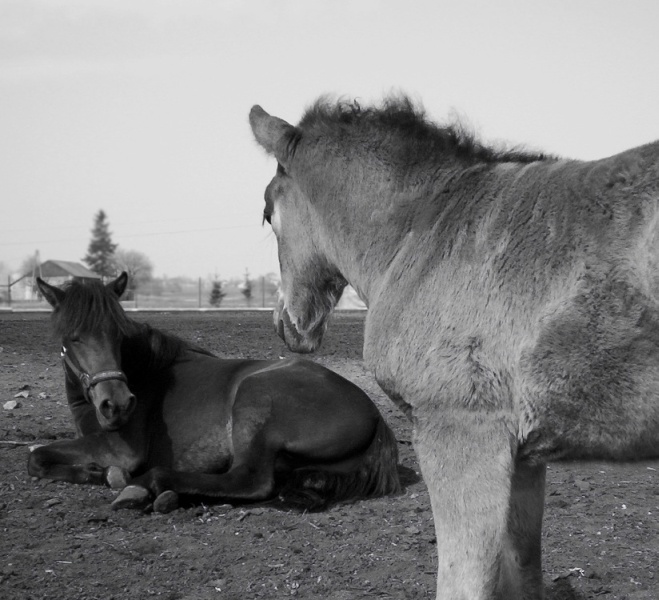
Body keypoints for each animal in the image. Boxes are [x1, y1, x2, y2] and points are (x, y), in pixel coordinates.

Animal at [28, 274, 400, 510]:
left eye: (118, 334)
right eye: (72, 337)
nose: (117, 404)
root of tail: (375, 415)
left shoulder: (119, 449)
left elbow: (34, 456)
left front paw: (106, 475)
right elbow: (39, 458)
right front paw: (91, 472)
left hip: (254, 402)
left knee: (248, 481)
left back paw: (145, 488)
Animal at [249, 96, 659, 596]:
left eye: (268, 212)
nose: (285, 326)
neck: (425, 229)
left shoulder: (461, 434)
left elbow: (462, 584)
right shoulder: (523, 456)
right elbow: (522, 573)